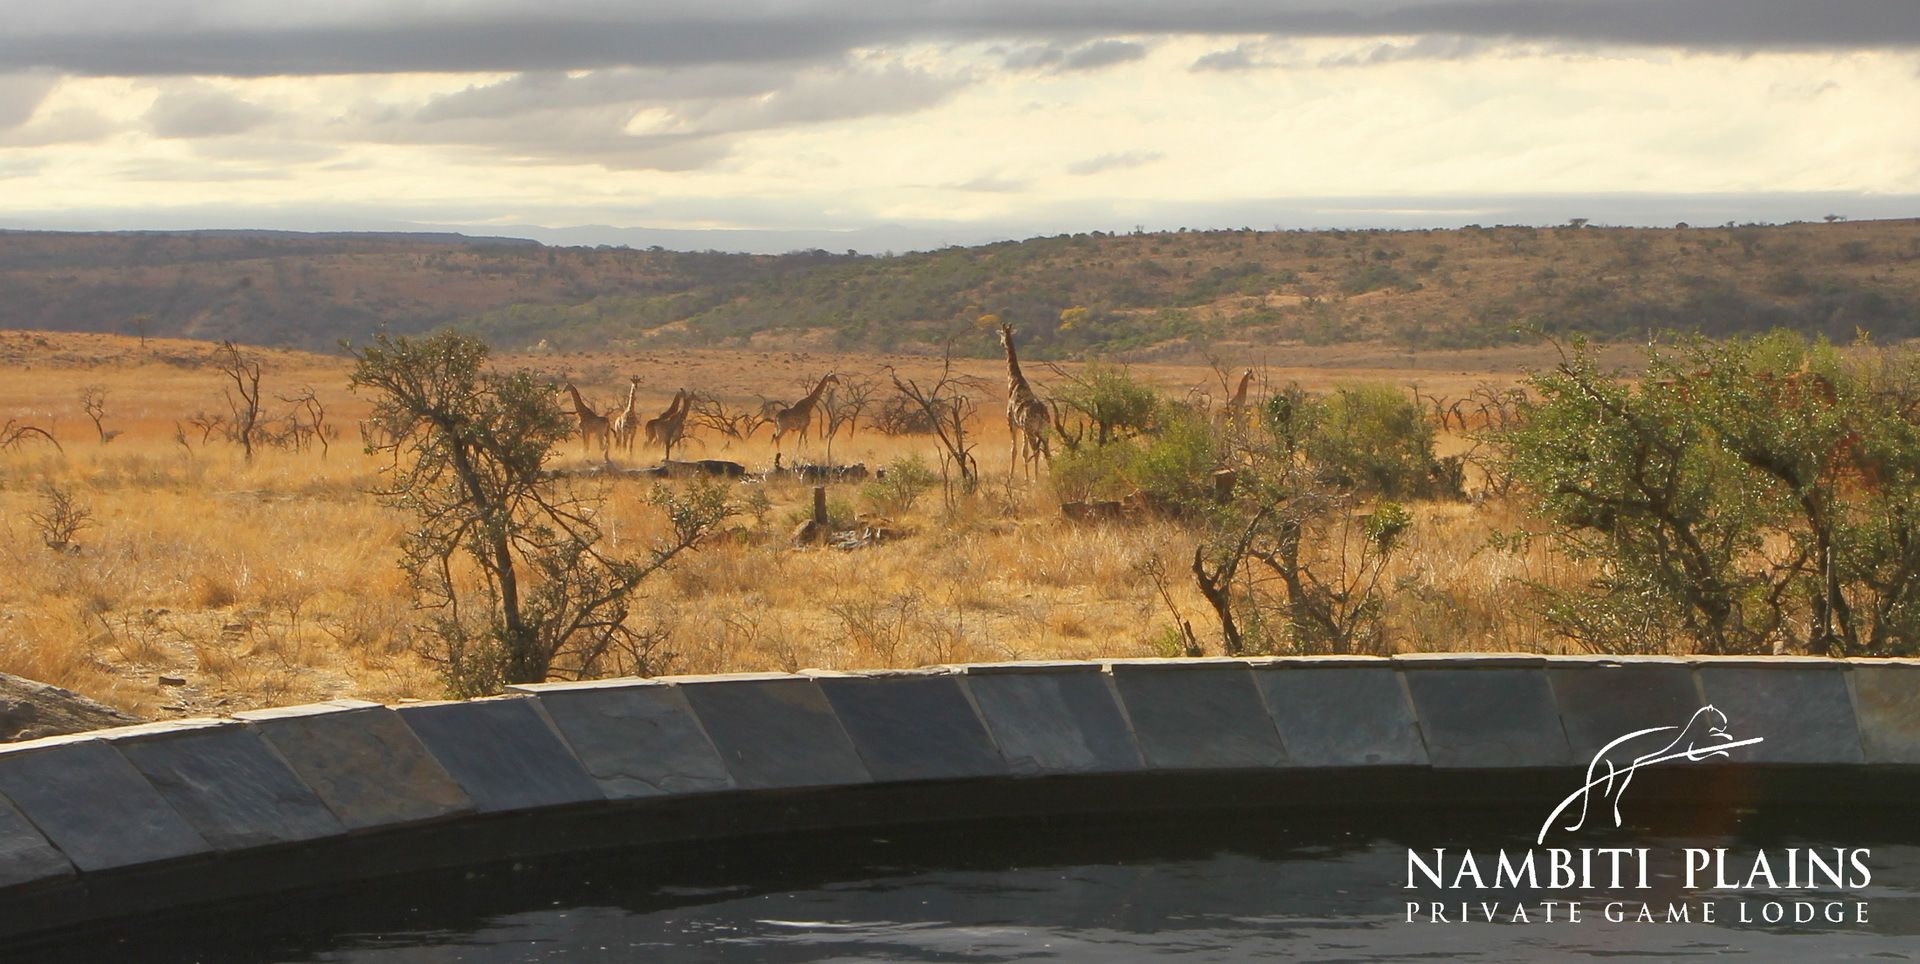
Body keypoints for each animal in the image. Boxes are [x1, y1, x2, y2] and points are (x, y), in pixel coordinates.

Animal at [999, 323, 1050, 479]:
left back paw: (1036, 479)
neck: (1015, 382)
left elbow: (1014, 450)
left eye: (1000, 334)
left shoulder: (1012, 423)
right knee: (1047, 452)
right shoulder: (1022, 428)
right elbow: (1024, 451)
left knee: (1037, 451)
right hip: (1044, 431)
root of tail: (1043, 414)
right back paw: (1051, 475)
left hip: (1032, 430)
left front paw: (1010, 477)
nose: (1001, 343)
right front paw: (1026, 478)